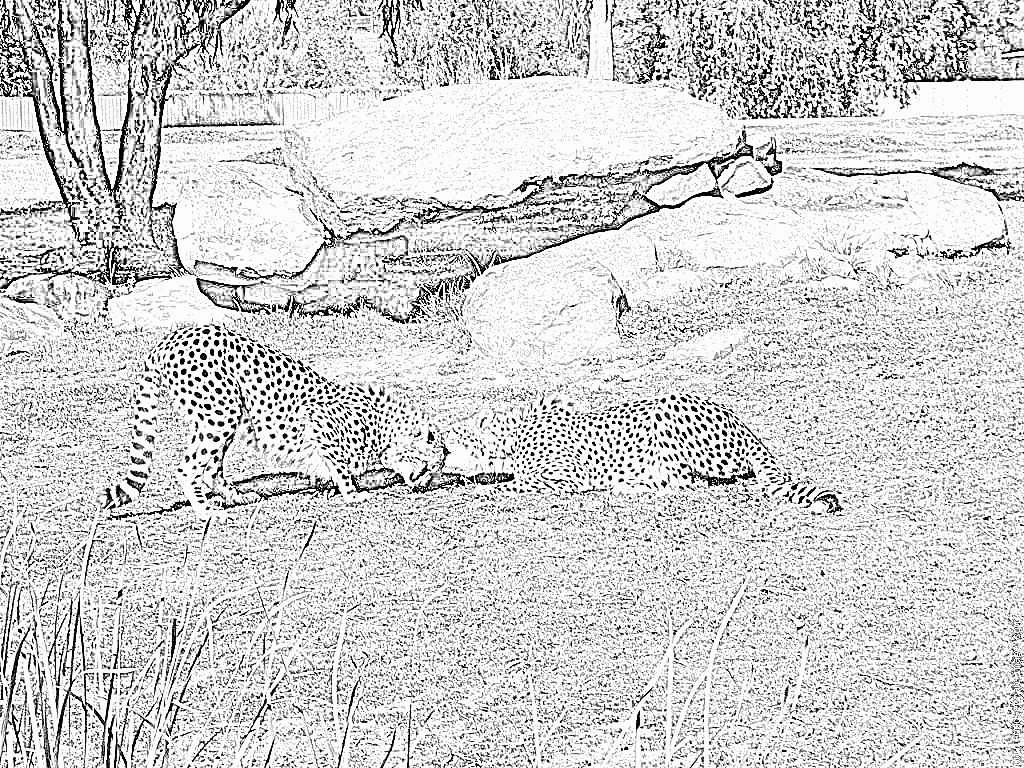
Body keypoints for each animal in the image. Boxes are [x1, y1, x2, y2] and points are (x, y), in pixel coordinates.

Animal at [100, 325, 446, 519]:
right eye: (432, 464)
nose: (424, 485)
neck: (384, 423)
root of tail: (171, 337)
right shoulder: (318, 421)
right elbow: (340, 466)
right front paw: (351, 493)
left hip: (220, 417)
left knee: (211, 468)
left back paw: (236, 497)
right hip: (220, 413)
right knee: (188, 468)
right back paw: (204, 511)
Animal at [442, 393, 841, 513]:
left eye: (445, 438)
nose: (439, 455)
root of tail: (743, 426)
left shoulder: (570, 477)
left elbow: (521, 483)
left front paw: (492, 487)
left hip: (668, 411)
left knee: (688, 483)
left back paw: (628, 485)